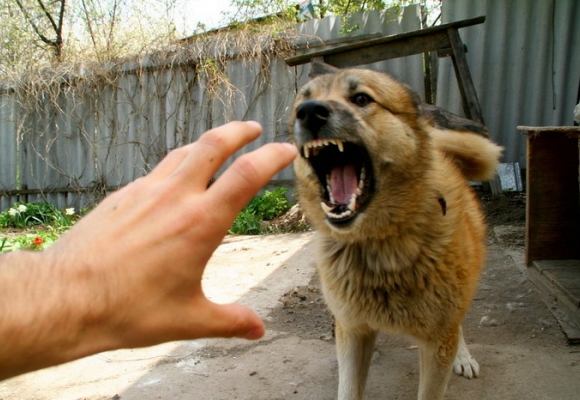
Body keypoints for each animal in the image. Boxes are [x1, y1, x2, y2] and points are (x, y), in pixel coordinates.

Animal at [290, 64, 502, 398]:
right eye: (302, 101)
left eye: (361, 98)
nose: (309, 112)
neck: (380, 246)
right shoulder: (353, 331)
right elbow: (349, 388)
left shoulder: (436, 342)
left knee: (458, 325)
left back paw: (463, 356)